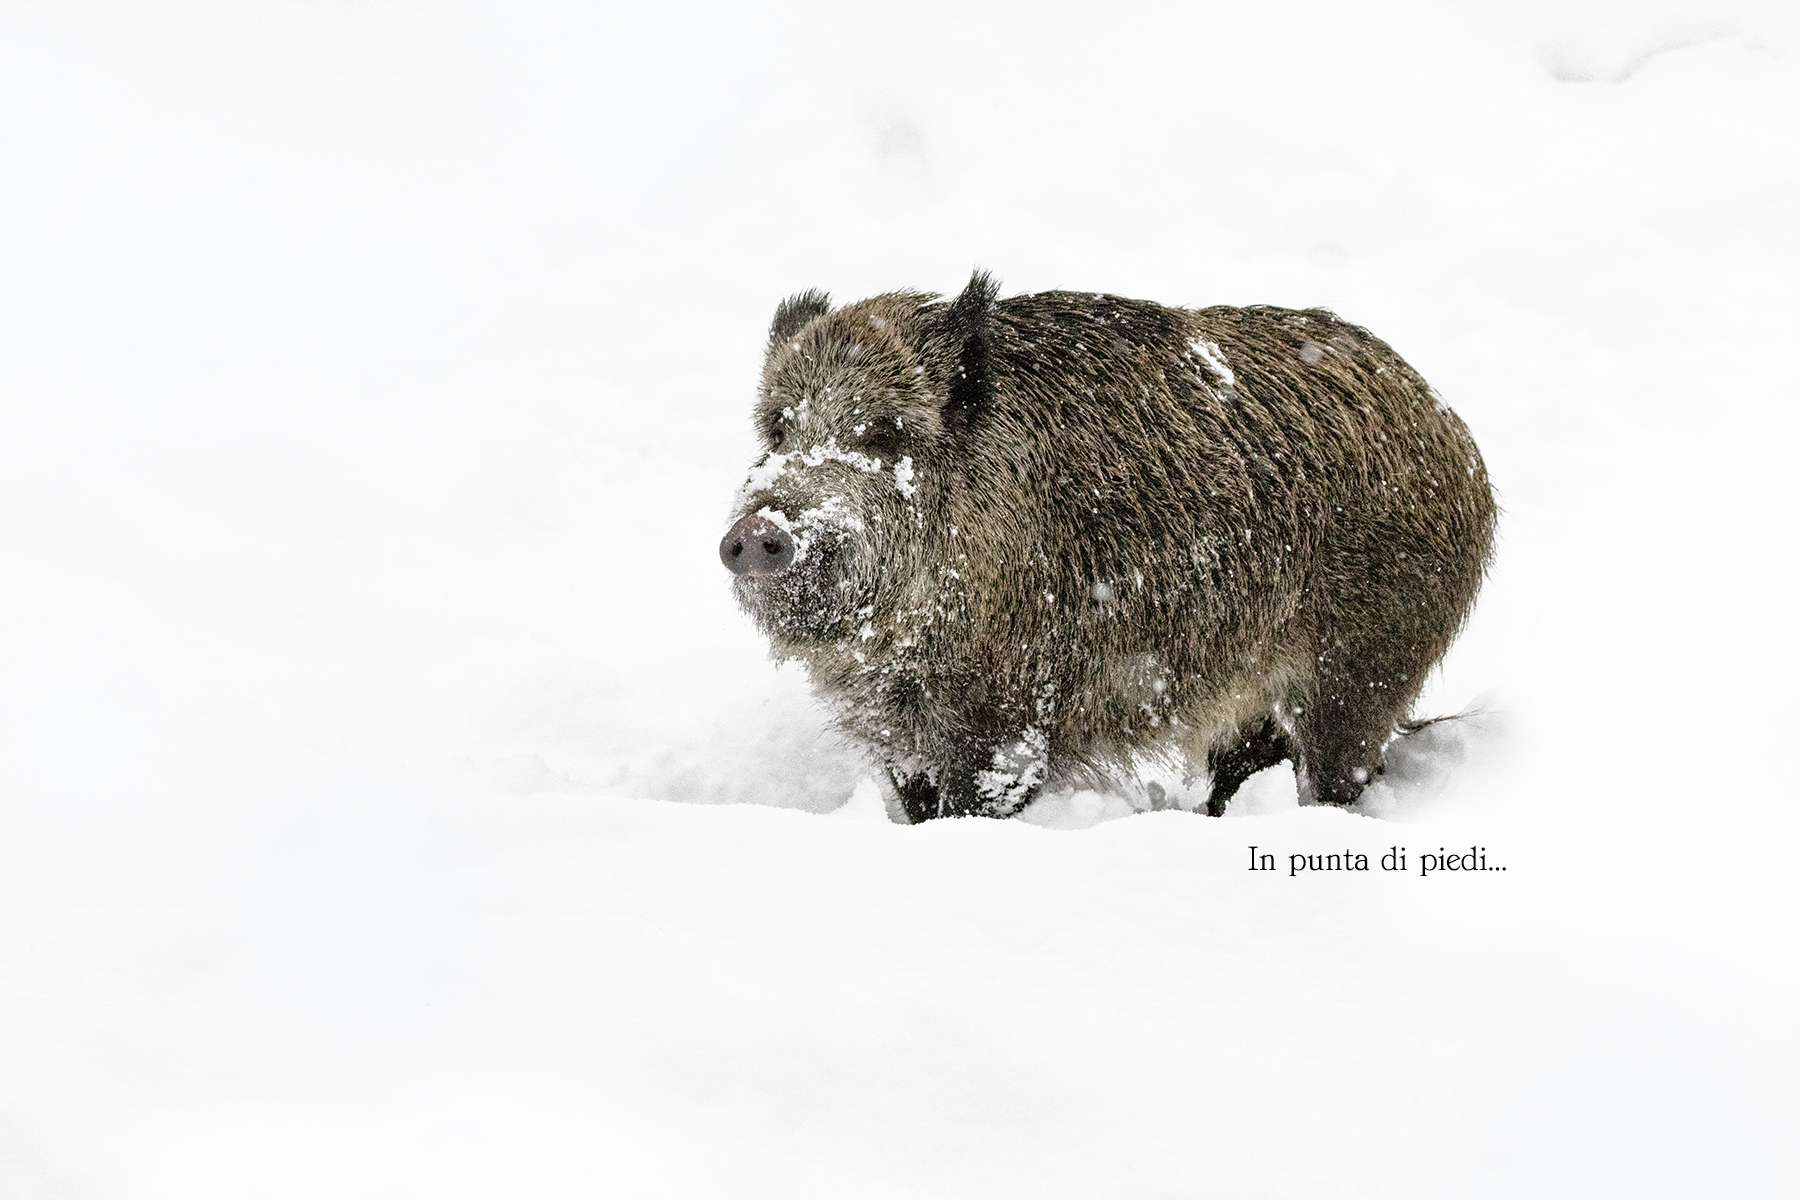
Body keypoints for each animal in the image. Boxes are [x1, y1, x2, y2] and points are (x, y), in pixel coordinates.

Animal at [720, 272, 1496, 823]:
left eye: (884, 432)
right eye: (778, 429)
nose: (756, 534)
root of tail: (1457, 437)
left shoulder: (1012, 716)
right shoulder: (900, 732)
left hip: (1364, 663)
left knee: (1335, 771)